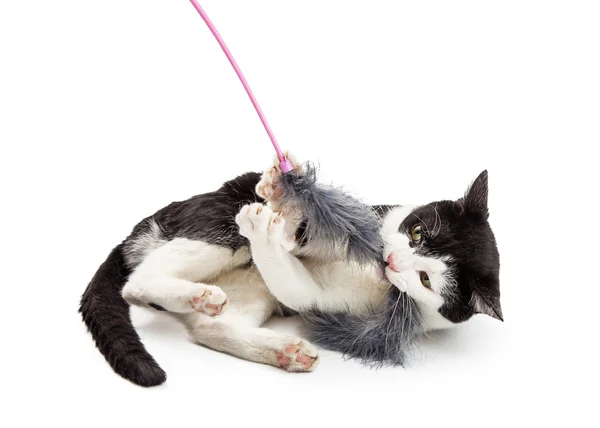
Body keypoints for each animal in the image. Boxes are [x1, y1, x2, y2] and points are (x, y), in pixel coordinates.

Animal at [79, 153, 502, 388]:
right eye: (416, 233)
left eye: (426, 279)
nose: (390, 261)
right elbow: (306, 228)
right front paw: (287, 192)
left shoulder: (324, 300)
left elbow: (297, 287)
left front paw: (269, 225)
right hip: (219, 229)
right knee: (138, 283)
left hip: (247, 285)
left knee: (207, 324)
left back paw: (277, 345)